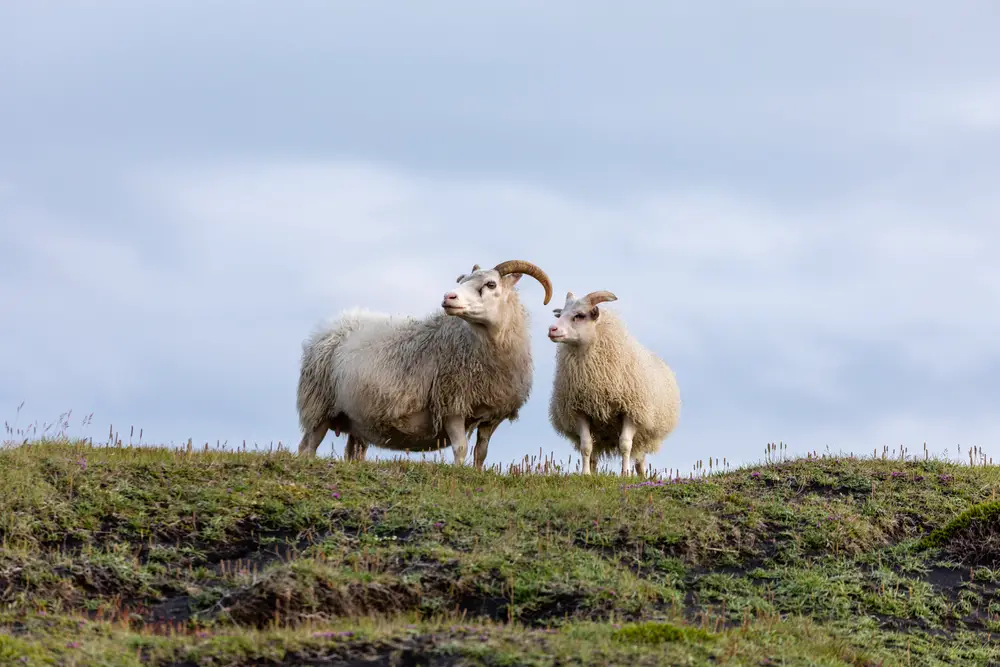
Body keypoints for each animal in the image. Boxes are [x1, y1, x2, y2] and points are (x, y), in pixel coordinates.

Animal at [294, 258, 556, 468]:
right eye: (462, 281)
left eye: (491, 284)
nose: (448, 297)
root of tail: (329, 327)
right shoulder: (452, 404)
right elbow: (460, 448)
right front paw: (459, 474)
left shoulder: (493, 415)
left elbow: (481, 452)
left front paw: (476, 473)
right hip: (319, 406)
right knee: (307, 446)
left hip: (356, 420)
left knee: (353, 452)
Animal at [548, 290, 680, 478]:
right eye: (560, 314)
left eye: (579, 315)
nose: (552, 330)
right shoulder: (579, 411)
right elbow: (586, 445)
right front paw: (586, 474)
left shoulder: (631, 411)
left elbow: (625, 444)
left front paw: (625, 474)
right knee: (595, 452)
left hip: (644, 429)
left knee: (639, 457)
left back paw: (641, 476)